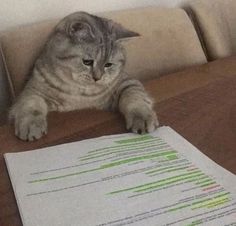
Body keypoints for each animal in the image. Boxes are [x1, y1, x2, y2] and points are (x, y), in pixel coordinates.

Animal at [10, 11, 159, 141]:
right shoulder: (32, 90)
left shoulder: (127, 82)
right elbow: (31, 106)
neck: (79, 94)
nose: (97, 77)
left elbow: (135, 98)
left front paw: (142, 117)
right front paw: (31, 126)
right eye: (87, 62)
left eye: (108, 64)